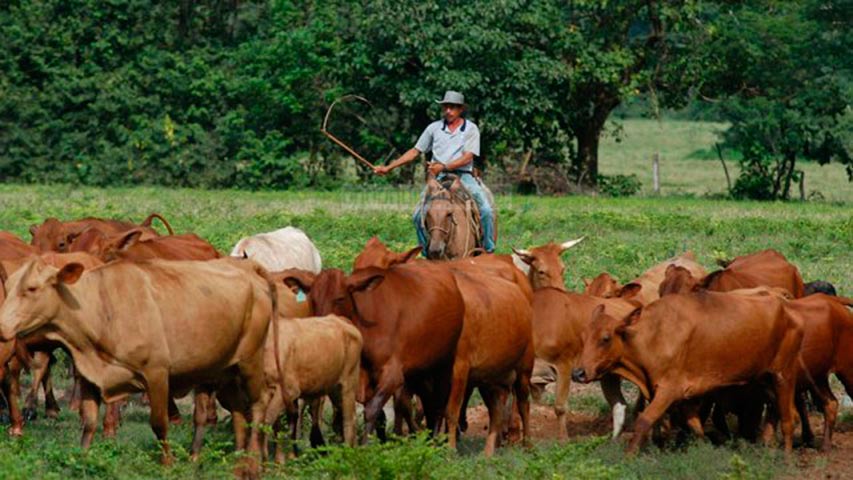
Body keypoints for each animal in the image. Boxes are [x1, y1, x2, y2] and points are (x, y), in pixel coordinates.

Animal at [572, 292, 804, 454]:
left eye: (605, 338)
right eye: (584, 336)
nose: (578, 373)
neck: (654, 335)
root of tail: (787, 308)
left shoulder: (668, 390)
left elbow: (644, 420)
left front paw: (628, 457)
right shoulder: (681, 395)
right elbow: (693, 425)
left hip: (784, 375)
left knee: (788, 420)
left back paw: (786, 458)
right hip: (763, 380)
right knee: (781, 412)